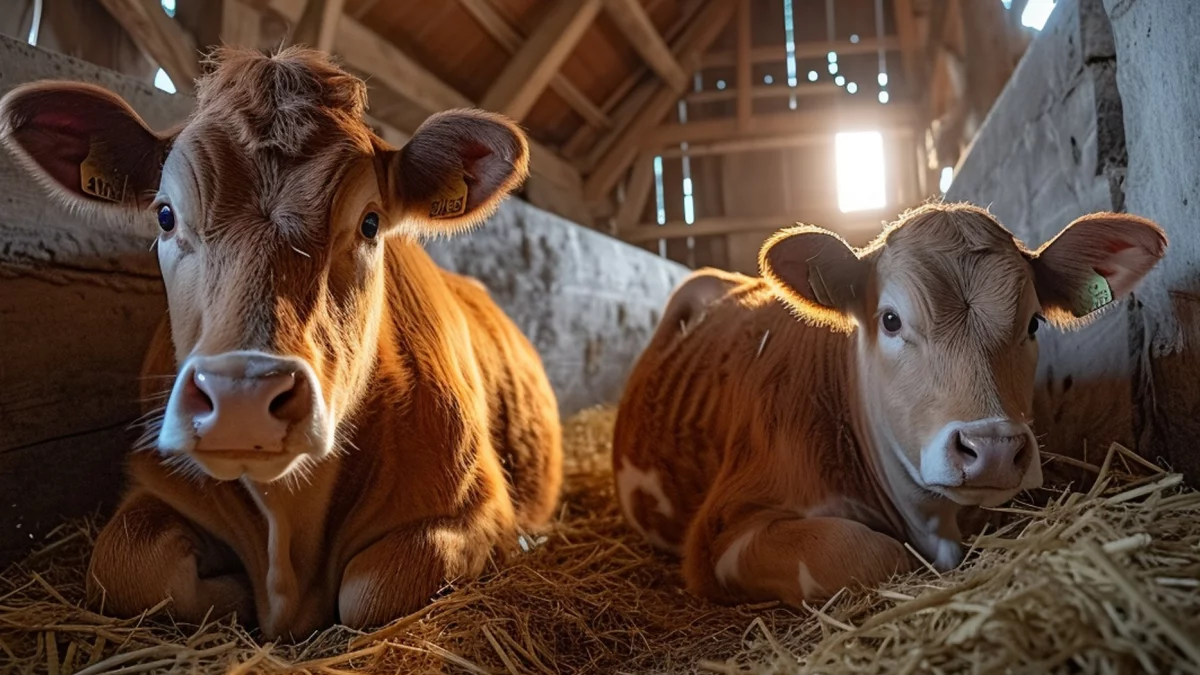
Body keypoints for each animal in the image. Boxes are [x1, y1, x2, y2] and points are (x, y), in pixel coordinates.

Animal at [0, 47, 564, 634]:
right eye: (165, 215)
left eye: (370, 223)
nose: (242, 400)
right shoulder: (153, 486)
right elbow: (128, 567)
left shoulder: (479, 513)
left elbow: (373, 589)